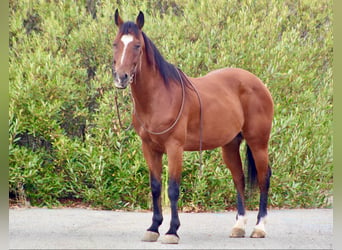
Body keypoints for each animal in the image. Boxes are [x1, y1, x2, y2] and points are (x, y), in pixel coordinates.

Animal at [113, 10, 274, 244]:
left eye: (137, 45)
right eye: (115, 44)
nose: (121, 77)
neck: (160, 96)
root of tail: (258, 83)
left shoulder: (174, 148)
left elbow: (172, 188)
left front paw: (172, 231)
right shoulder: (149, 148)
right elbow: (155, 187)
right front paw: (153, 228)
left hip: (258, 143)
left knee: (264, 178)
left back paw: (259, 227)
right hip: (230, 146)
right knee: (239, 179)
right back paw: (239, 226)